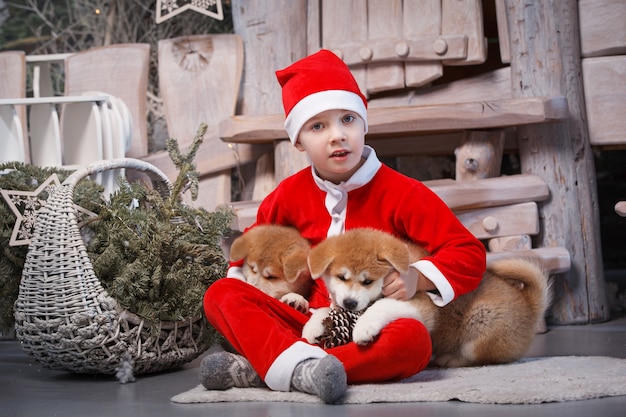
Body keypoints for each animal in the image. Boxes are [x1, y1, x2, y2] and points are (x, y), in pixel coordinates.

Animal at [304, 228, 552, 368]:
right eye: (341, 277)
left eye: (368, 281)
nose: (350, 303)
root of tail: (530, 305)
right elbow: (326, 310)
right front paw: (313, 326)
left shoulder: (421, 305)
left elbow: (381, 305)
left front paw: (363, 327)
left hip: (482, 321)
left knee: (482, 358)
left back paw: (450, 359)